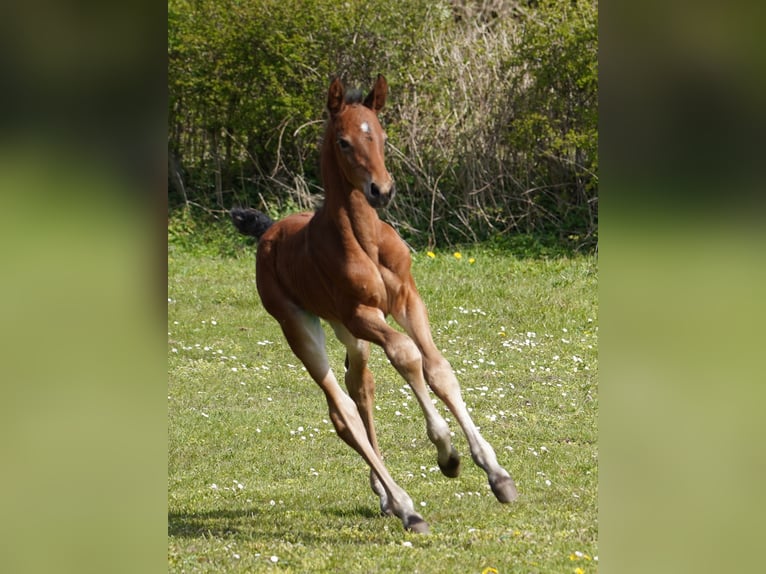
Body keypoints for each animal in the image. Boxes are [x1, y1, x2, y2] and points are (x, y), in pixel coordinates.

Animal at [231, 76, 520, 536]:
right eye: (344, 141)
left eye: (383, 136)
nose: (381, 191)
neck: (362, 237)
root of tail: (269, 231)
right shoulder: (362, 314)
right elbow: (407, 354)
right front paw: (446, 452)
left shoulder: (407, 299)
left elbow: (439, 369)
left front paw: (497, 474)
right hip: (300, 325)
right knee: (343, 410)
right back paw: (406, 506)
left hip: (347, 332)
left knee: (359, 389)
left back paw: (384, 494)